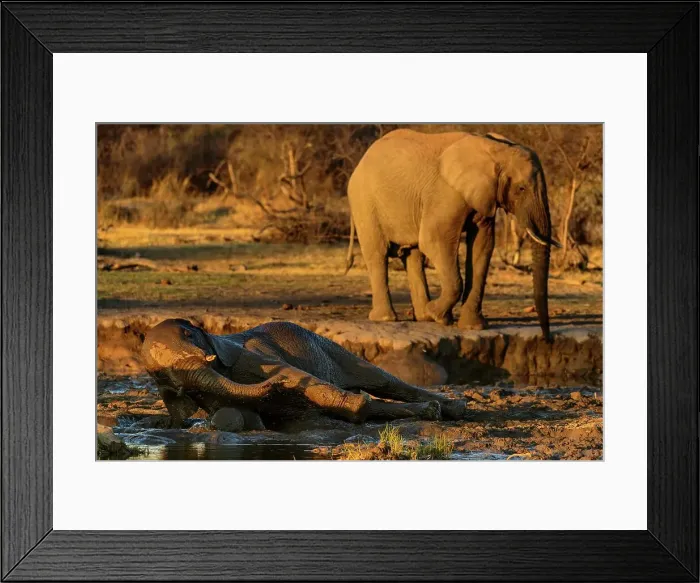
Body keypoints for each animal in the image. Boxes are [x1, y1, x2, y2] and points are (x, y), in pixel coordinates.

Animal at [141, 318, 467, 427]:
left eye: (189, 336)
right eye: (163, 377)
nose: (277, 385)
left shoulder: (249, 354)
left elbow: (298, 376)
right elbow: (228, 415)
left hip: (331, 347)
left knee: (384, 382)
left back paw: (452, 408)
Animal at [345, 129, 560, 339]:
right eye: (521, 188)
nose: (546, 338)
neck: (497, 149)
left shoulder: (483, 197)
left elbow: (482, 246)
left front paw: (472, 327)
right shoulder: (446, 194)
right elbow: (433, 240)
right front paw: (438, 316)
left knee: (413, 256)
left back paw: (423, 316)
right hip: (364, 202)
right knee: (377, 254)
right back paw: (387, 318)